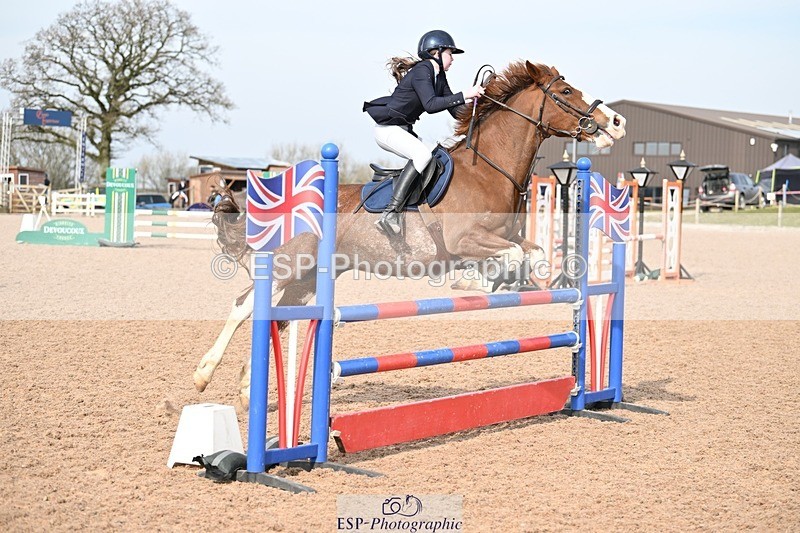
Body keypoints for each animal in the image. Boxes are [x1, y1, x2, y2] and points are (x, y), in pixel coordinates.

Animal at [193, 61, 627, 408]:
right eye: (566, 92)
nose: (616, 123)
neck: (489, 170)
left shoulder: (506, 236)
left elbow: (532, 254)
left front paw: (506, 281)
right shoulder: (464, 240)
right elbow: (512, 257)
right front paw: (481, 281)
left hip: (307, 279)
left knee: (274, 317)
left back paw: (247, 392)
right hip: (291, 265)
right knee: (244, 305)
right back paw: (204, 375)